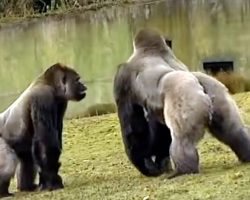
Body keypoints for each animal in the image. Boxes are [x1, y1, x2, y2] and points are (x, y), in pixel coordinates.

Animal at [0, 63, 87, 197]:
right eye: (77, 80)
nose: (84, 86)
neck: (50, 84)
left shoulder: (61, 102)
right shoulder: (43, 98)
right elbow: (47, 143)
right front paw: (52, 181)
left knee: (27, 159)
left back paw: (26, 187)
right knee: (8, 163)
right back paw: (3, 192)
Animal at [114, 28, 250, 178]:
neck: (149, 50)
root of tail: (198, 81)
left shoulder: (123, 78)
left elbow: (133, 128)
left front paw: (145, 165)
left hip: (187, 99)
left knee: (182, 140)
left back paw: (183, 170)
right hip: (217, 92)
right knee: (234, 130)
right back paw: (246, 153)